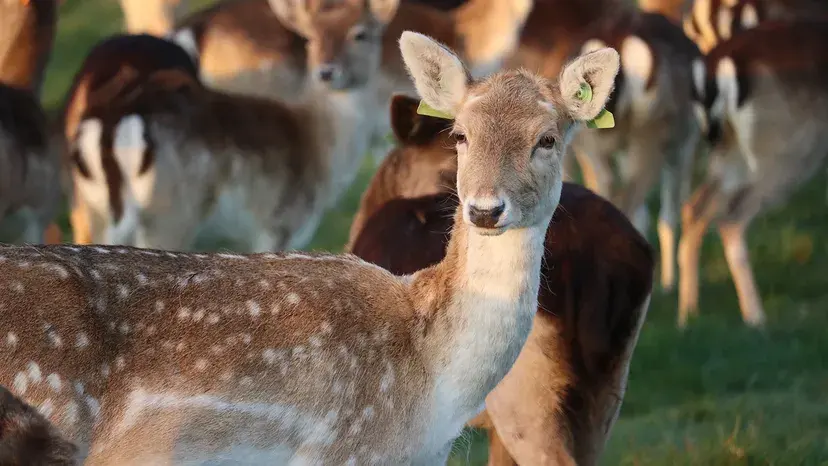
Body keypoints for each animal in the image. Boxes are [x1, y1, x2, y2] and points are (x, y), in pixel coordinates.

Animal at [678, 20, 828, 328]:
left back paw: (688, 313)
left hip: (730, 153)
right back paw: (756, 318)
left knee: (696, 207)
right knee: (731, 218)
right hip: (786, 148)